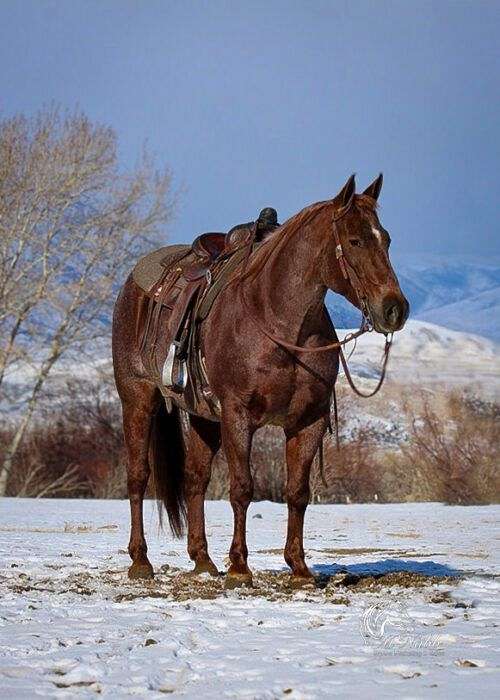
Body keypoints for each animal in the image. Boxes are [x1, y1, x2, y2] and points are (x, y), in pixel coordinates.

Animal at [111, 174, 408, 584]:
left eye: (388, 239)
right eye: (354, 241)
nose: (395, 309)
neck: (278, 321)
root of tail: (134, 284)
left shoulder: (308, 421)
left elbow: (297, 492)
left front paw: (299, 568)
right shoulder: (238, 416)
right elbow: (242, 489)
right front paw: (239, 567)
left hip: (204, 417)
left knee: (195, 479)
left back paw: (203, 560)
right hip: (138, 399)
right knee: (138, 476)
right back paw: (141, 561)